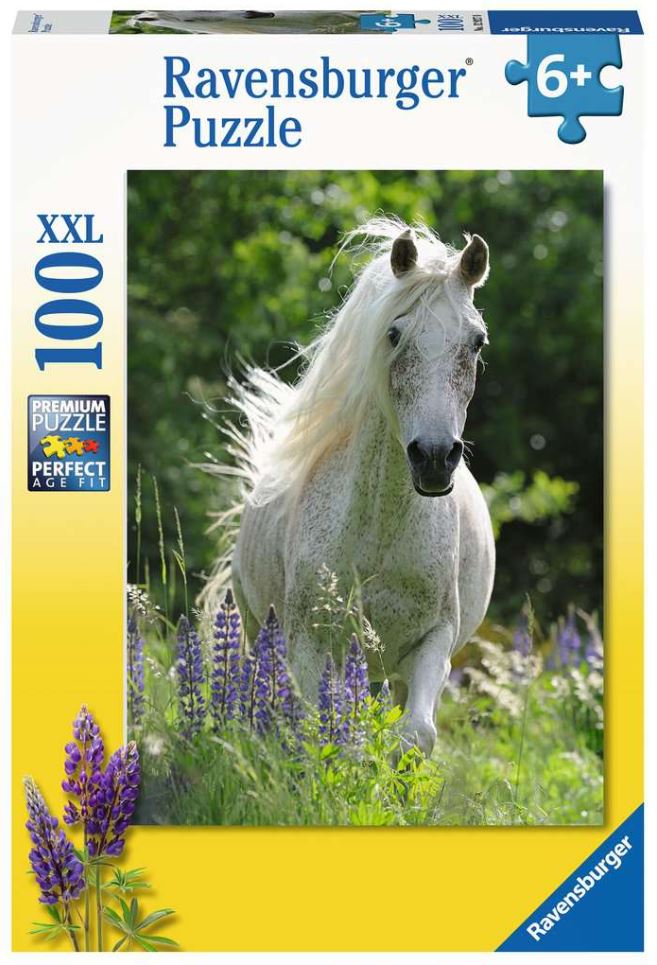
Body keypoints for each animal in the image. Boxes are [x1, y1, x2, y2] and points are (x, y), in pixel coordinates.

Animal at [221, 218, 495, 756]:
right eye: (394, 334)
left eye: (475, 342)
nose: (435, 458)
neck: (380, 532)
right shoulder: (308, 644)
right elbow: (320, 733)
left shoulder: (432, 643)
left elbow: (415, 735)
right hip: (256, 628)